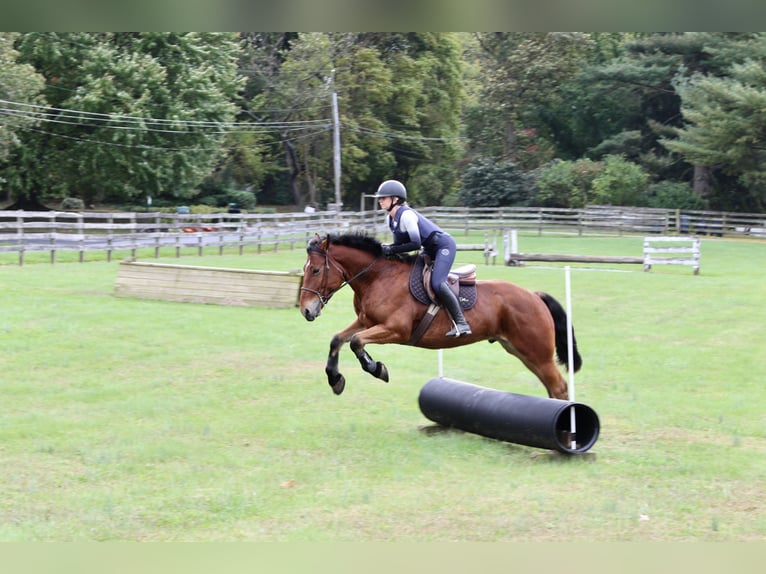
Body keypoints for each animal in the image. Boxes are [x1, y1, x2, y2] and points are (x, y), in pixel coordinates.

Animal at [299, 232, 581, 400]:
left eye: (315, 270)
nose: (306, 311)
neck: (378, 277)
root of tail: (534, 296)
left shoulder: (395, 329)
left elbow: (357, 342)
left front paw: (378, 369)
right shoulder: (366, 322)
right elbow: (338, 339)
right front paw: (335, 379)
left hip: (537, 352)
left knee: (559, 386)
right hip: (521, 351)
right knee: (552, 386)